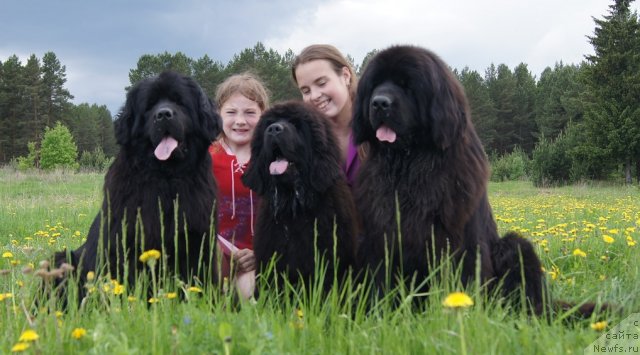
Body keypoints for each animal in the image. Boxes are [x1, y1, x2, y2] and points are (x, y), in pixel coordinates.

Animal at [51, 70, 220, 298]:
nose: (163, 115)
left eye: (179, 102)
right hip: (64, 260)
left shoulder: (196, 239)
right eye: (149, 106)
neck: (166, 179)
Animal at [352, 45, 604, 318]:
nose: (379, 102)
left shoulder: (459, 243)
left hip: (514, 246)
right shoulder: (382, 239)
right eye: (375, 85)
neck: (409, 167)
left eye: (407, 85)